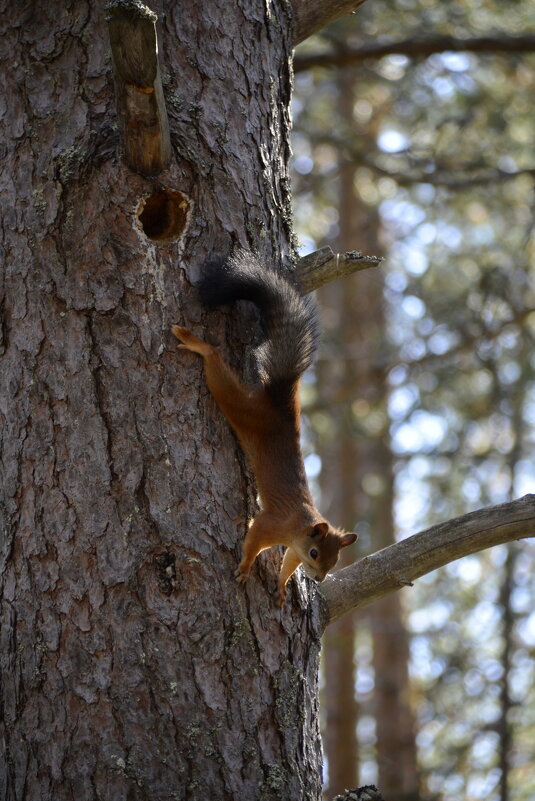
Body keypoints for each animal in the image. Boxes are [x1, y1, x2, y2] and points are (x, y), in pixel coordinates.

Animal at [172, 248, 356, 600]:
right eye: (316, 553)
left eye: (335, 560)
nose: (319, 579)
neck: (299, 528)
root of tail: (281, 403)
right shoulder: (270, 524)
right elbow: (253, 541)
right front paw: (245, 569)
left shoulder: (293, 549)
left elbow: (288, 565)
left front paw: (282, 588)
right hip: (242, 407)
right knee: (216, 364)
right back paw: (197, 343)